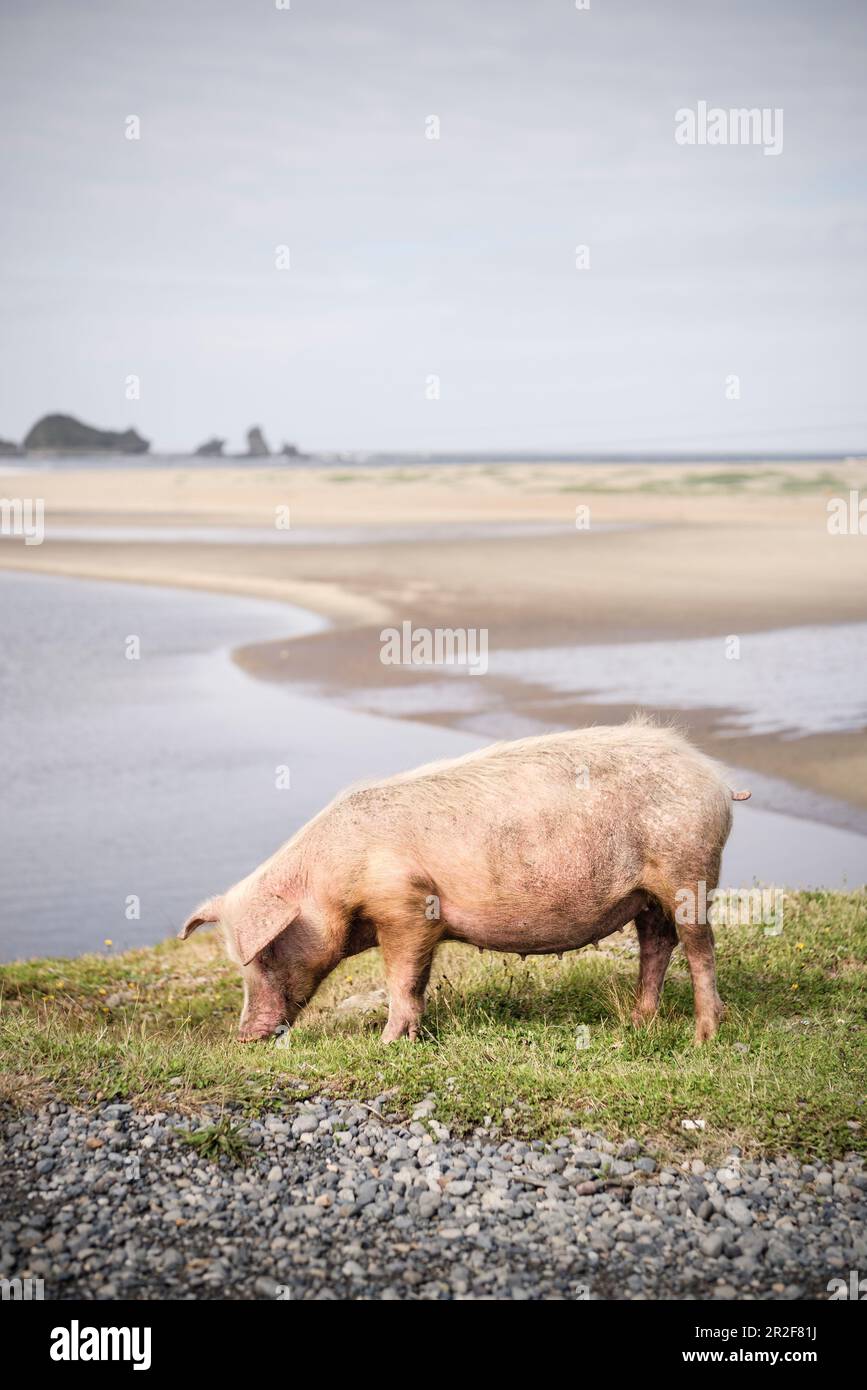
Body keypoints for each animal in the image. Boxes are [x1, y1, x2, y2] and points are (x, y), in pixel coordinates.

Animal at [179, 722, 750, 1039]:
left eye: (265, 954)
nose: (243, 1037)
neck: (331, 880)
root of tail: (716, 778)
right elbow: (417, 981)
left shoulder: (407, 904)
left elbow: (402, 977)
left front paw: (387, 1042)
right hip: (646, 893)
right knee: (657, 943)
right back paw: (637, 1024)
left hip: (689, 869)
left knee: (699, 947)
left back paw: (703, 1037)